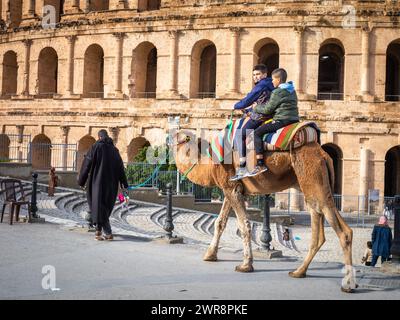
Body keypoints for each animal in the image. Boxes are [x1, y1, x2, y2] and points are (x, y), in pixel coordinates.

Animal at [172, 128, 356, 292]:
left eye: (183, 136)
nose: (173, 132)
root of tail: (324, 155)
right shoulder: (230, 188)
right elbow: (220, 222)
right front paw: (210, 255)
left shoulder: (231, 188)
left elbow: (244, 225)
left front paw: (246, 265)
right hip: (314, 184)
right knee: (320, 221)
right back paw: (299, 272)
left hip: (313, 177)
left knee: (339, 228)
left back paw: (348, 285)